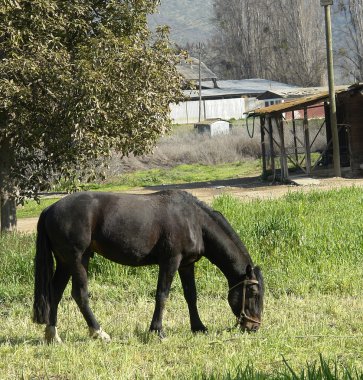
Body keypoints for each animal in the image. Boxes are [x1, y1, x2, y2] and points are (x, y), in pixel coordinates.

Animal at [33, 190, 264, 342]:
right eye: (253, 292)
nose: (253, 326)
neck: (193, 220)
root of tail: (49, 208)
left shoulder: (186, 265)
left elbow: (191, 296)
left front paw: (198, 327)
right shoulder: (170, 261)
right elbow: (162, 295)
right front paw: (157, 331)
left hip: (64, 262)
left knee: (55, 293)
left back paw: (53, 335)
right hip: (78, 259)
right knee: (80, 295)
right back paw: (99, 332)